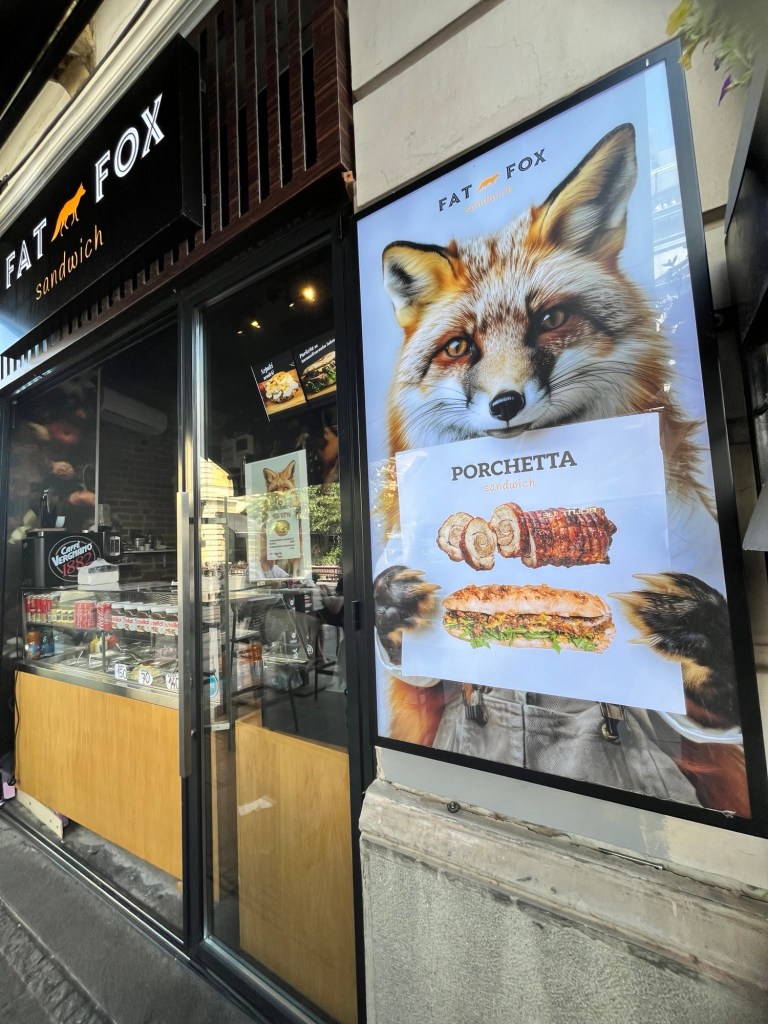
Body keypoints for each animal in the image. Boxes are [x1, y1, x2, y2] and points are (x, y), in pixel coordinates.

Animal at [374, 123, 748, 815]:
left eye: (549, 319)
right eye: (459, 346)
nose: (505, 404)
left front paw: (702, 632)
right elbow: (417, 669)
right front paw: (392, 607)